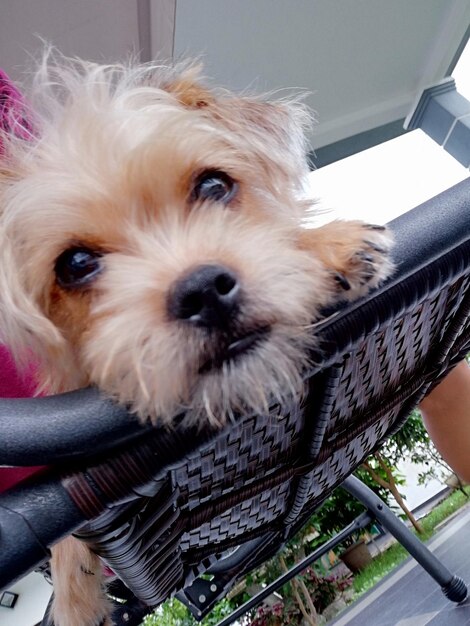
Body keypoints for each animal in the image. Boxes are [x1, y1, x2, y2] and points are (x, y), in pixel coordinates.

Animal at [0, 53, 392, 624]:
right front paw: (76, 594)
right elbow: (66, 551)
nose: (203, 291)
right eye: (75, 264)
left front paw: (323, 245)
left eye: (213, 186)